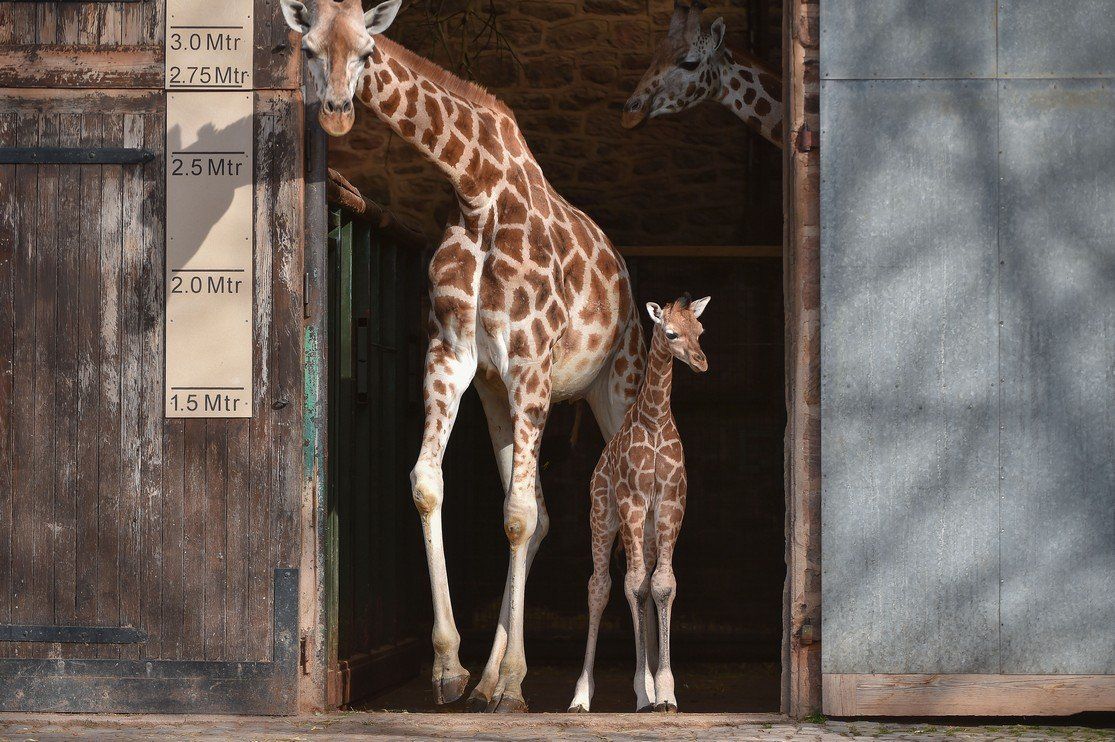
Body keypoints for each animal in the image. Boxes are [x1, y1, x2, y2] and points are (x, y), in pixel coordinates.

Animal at [280, 0, 647, 712]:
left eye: (367, 50)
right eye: (309, 48)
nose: (335, 111)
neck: (476, 190)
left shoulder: (531, 362)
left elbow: (516, 515)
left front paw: (513, 682)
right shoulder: (455, 357)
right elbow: (433, 485)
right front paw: (453, 668)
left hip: (612, 384)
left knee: (623, 504)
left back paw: (645, 685)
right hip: (501, 397)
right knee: (543, 517)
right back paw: (489, 680)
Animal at [569, 294, 711, 714]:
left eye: (701, 330)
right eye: (671, 333)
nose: (701, 362)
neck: (655, 420)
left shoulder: (669, 506)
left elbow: (661, 585)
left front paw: (664, 693)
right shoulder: (632, 503)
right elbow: (632, 584)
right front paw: (651, 691)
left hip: (646, 531)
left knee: (642, 584)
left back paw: (642, 692)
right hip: (603, 518)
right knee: (600, 587)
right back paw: (581, 697)